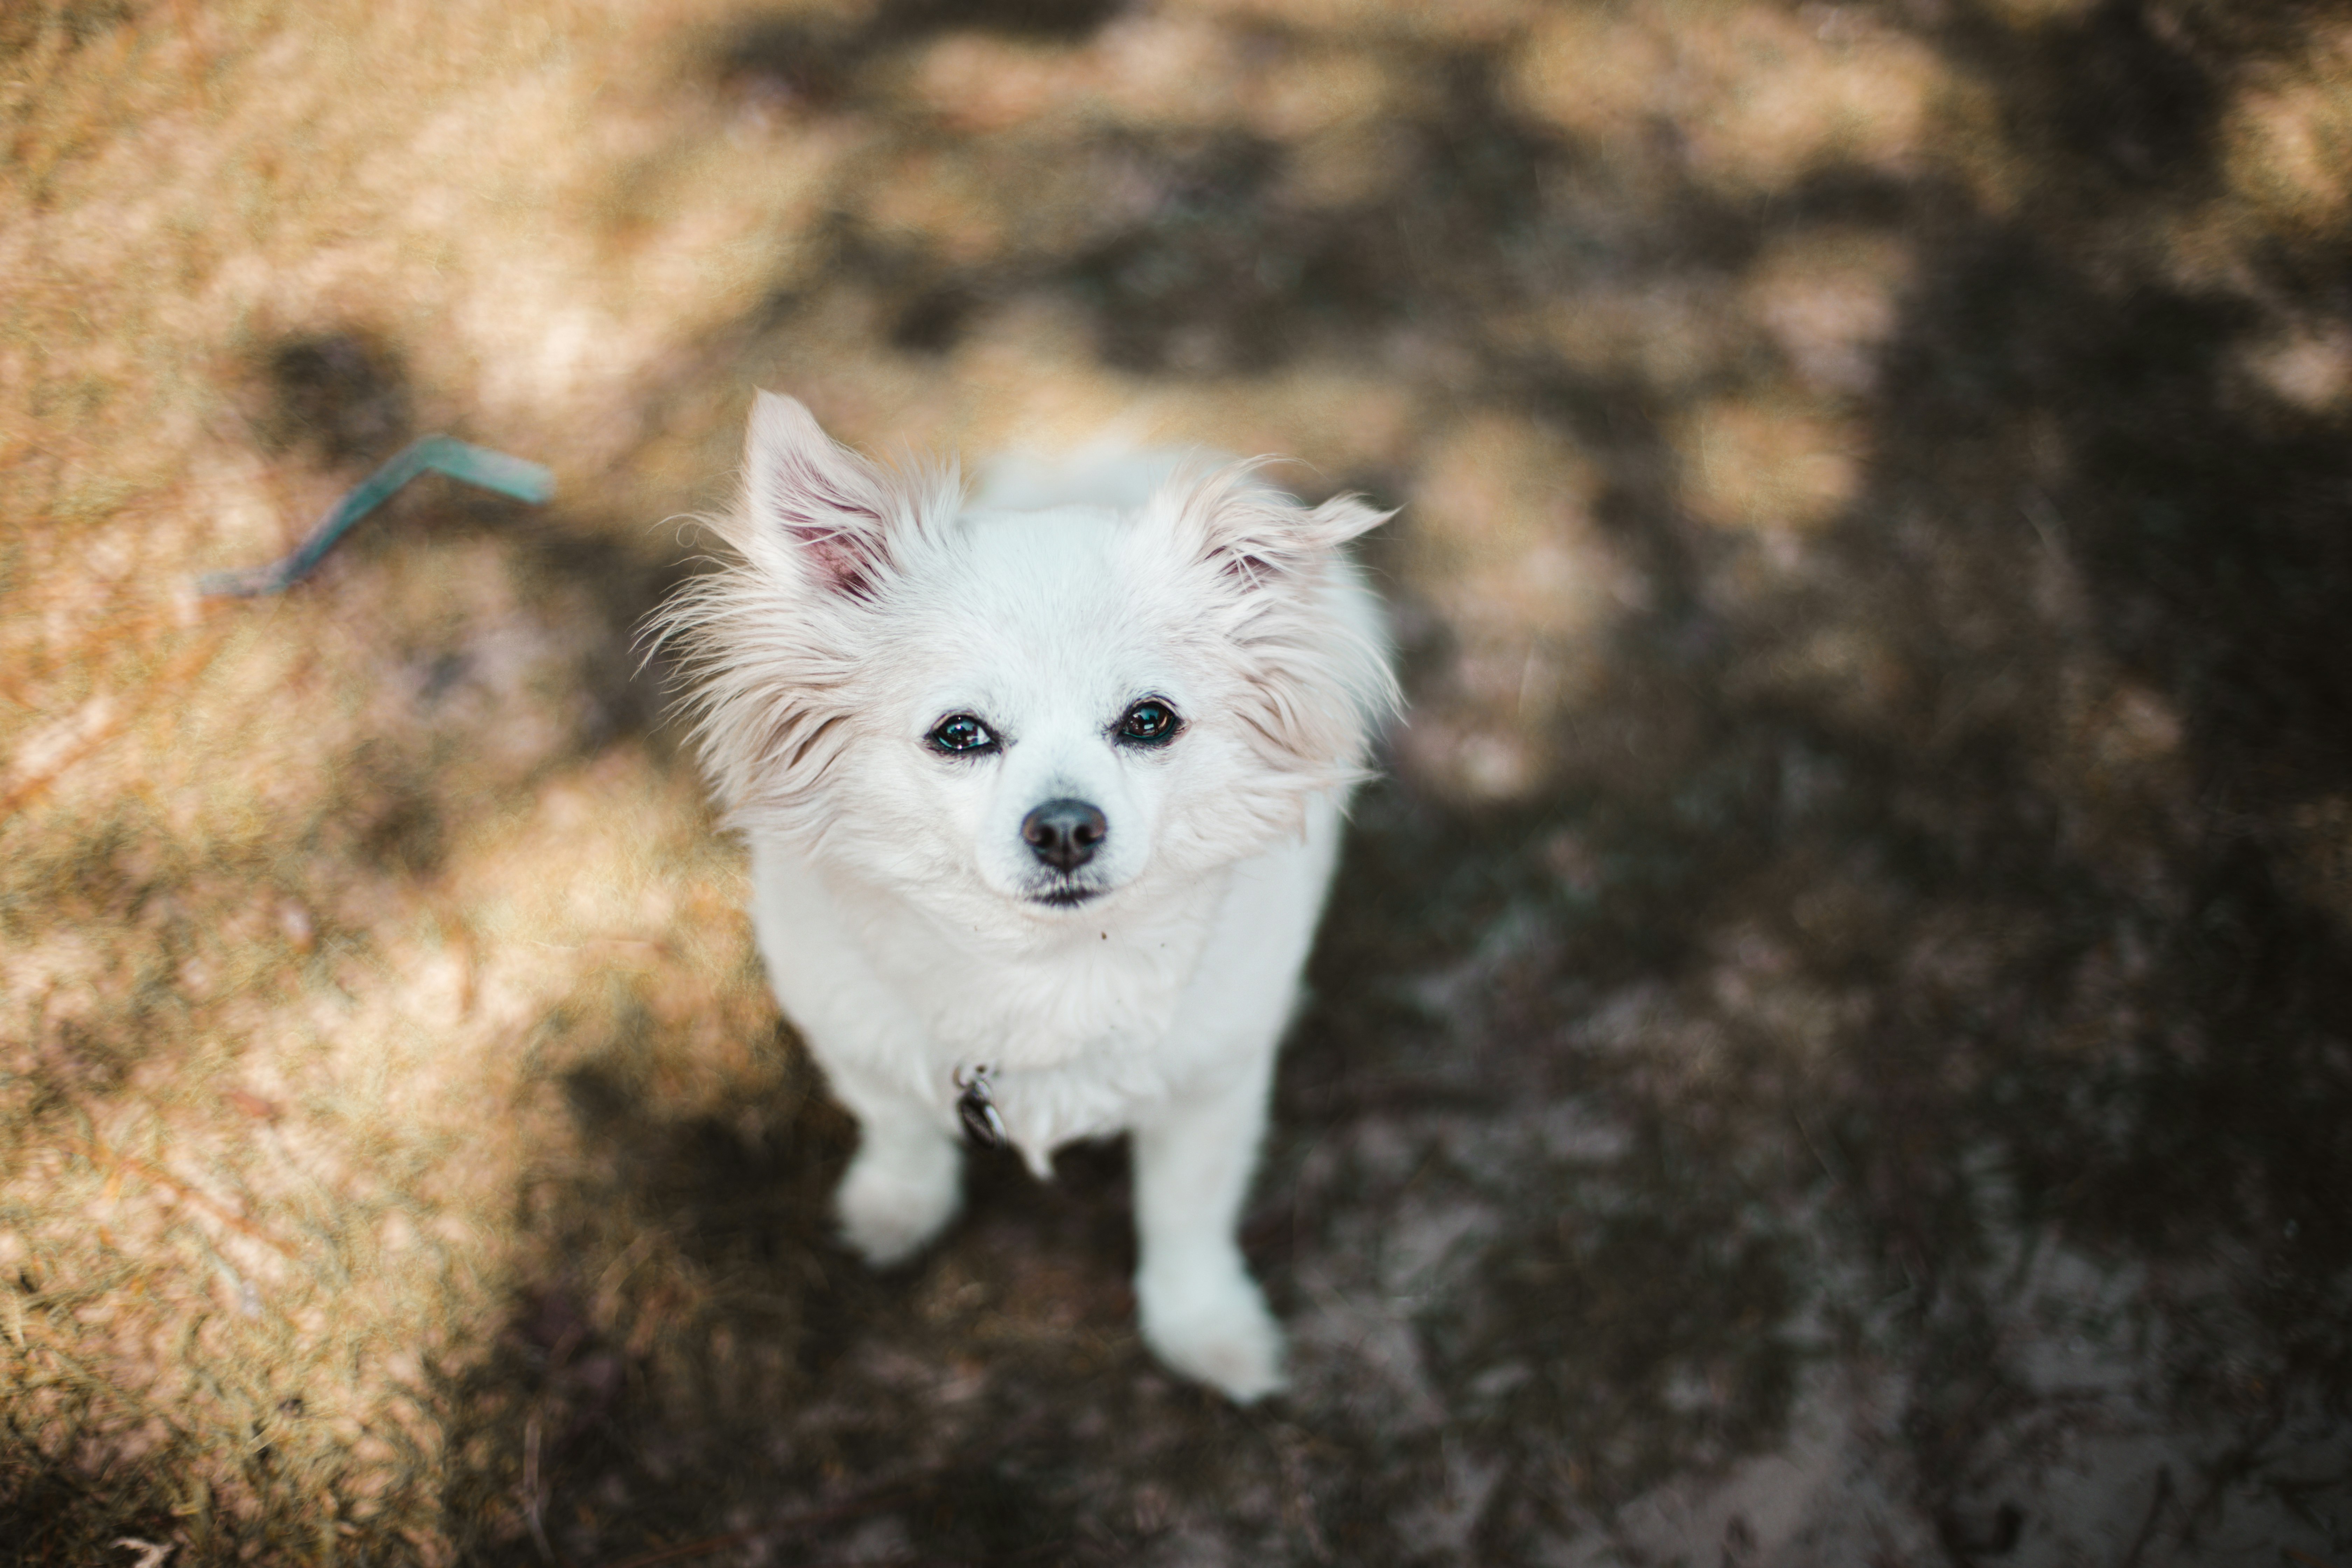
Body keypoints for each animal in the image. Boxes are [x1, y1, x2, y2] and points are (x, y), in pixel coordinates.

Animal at [658, 392, 1392, 1401]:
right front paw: (897, 1210)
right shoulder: (858, 1042)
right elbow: (901, 1131)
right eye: (960, 734)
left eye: (1150, 722)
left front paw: (1204, 1328)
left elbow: (1186, 1218)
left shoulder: (1213, 1093)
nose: (1066, 827)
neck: (1042, 969)